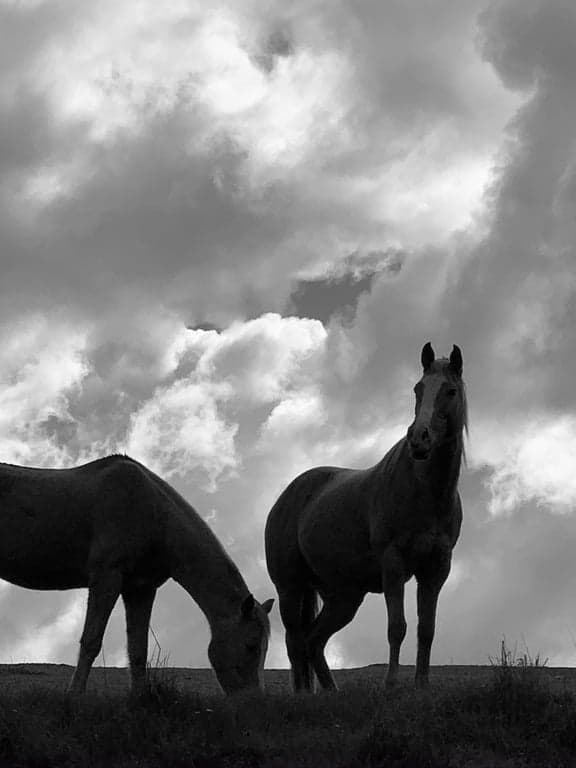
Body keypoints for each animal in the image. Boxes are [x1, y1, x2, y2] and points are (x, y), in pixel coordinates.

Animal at [0, 454, 274, 695]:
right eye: (250, 646)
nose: (255, 700)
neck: (153, 514)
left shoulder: (141, 588)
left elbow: (138, 649)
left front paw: (140, 697)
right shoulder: (106, 578)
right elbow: (91, 641)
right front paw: (74, 694)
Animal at [265, 342, 466, 691]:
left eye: (450, 391)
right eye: (418, 389)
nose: (419, 439)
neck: (425, 492)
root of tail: (287, 496)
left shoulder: (436, 569)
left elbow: (426, 629)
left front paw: (421, 686)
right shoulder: (393, 564)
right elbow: (397, 627)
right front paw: (391, 684)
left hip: (343, 596)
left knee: (313, 641)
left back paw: (331, 692)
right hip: (290, 588)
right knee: (295, 641)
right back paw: (303, 694)